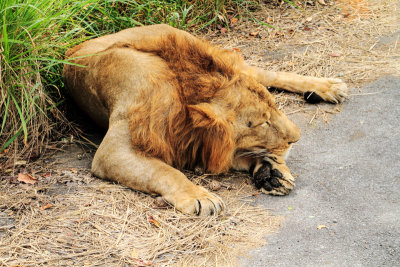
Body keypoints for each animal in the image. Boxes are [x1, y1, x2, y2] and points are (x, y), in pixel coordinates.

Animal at [63, 24, 346, 217]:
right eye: (262, 122)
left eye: (276, 108)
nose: (296, 138)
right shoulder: (114, 151)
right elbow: (165, 171)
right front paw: (201, 196)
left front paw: (271, 170)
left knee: (263, 73)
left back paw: (327, 87)